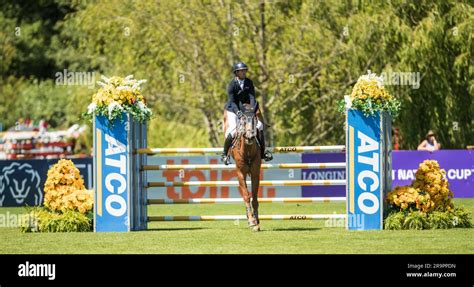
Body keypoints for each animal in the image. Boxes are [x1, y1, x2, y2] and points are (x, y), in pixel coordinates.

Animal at [223, 104, 262, 233]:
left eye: (255, 120)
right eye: (243, 121)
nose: (250, 137)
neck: (248, 151)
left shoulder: (255, 174)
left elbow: (254, 198)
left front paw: (257, 222)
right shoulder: (240, 173)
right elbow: (246, 195)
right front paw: (251, 220)